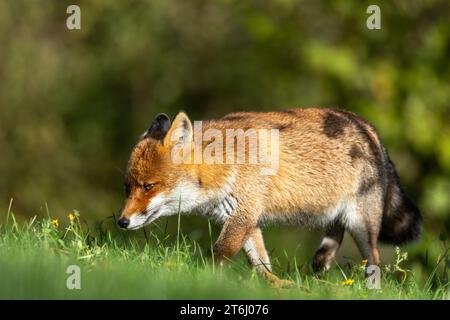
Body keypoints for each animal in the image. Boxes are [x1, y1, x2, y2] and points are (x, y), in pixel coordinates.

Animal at [118, 109, 422, 284]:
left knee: (374, 259)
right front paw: (274, 284)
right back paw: (322, 261)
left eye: (148, 186)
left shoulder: (243, 214)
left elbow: (221, 252)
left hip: (362, 223)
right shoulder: (245, 218)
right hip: (332, 210)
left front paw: (206, 280)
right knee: (335, 230)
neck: (226, 165)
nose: (122, 222)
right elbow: (260, 262)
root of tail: (369, 129)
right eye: (127, 188)